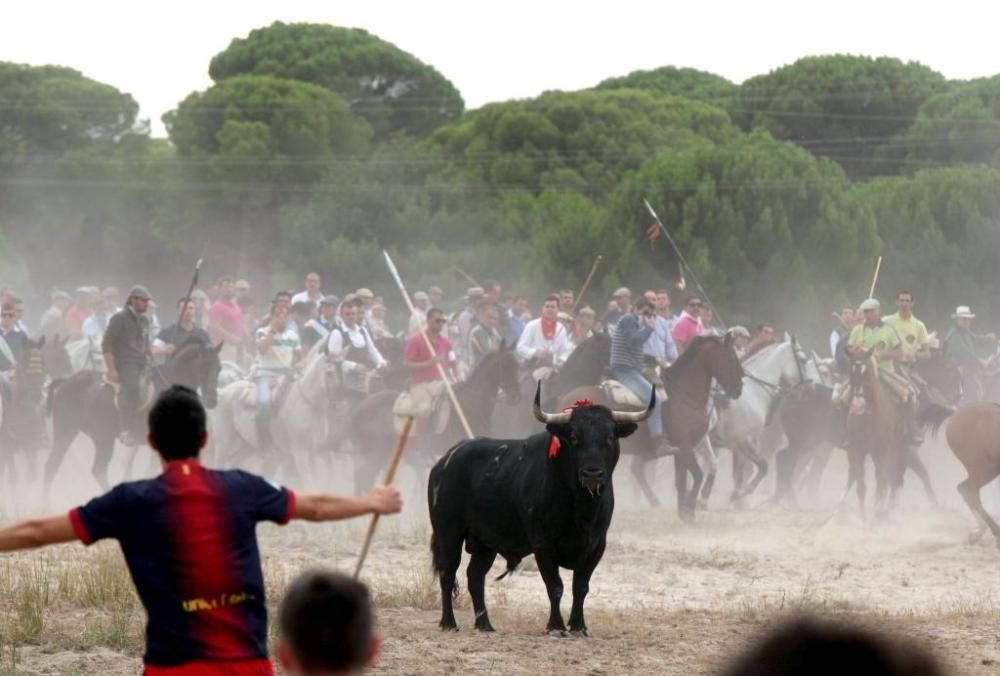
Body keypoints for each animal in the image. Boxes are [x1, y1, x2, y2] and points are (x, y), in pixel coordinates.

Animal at [44, 336, 221, 492]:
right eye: (204, 366)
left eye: (219, 368)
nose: (212, 400)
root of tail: (66, 382)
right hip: (87, 435)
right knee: (88, 468)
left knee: (55, 467)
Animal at [428, 382, 648, 636]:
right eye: (574, 437)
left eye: (610, 436)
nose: (592, 473)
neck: (581, 509)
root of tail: (445, 460)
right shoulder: (543, 544)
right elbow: (555, 586)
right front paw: (556, 626)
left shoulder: (596, 545)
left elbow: (580, 587)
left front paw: (579, 626)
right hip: (448, 534)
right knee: (447, 573)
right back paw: (449, 622)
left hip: (485, 543)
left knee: (475, 576)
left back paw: (485, 624)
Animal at [564, 336, 744, 520]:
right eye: (731, 359)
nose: (738, 388)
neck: (683, 395)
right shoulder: (685, 447)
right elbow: (698, 475)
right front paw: (690, 509)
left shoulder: (680, 451)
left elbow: (681, 481)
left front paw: (684, 513)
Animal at [916, 404, 1000, 548]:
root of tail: (954, 413)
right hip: (985, 468)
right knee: (968, 490)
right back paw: (989, 532)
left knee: (967, 491)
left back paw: (979, 533)